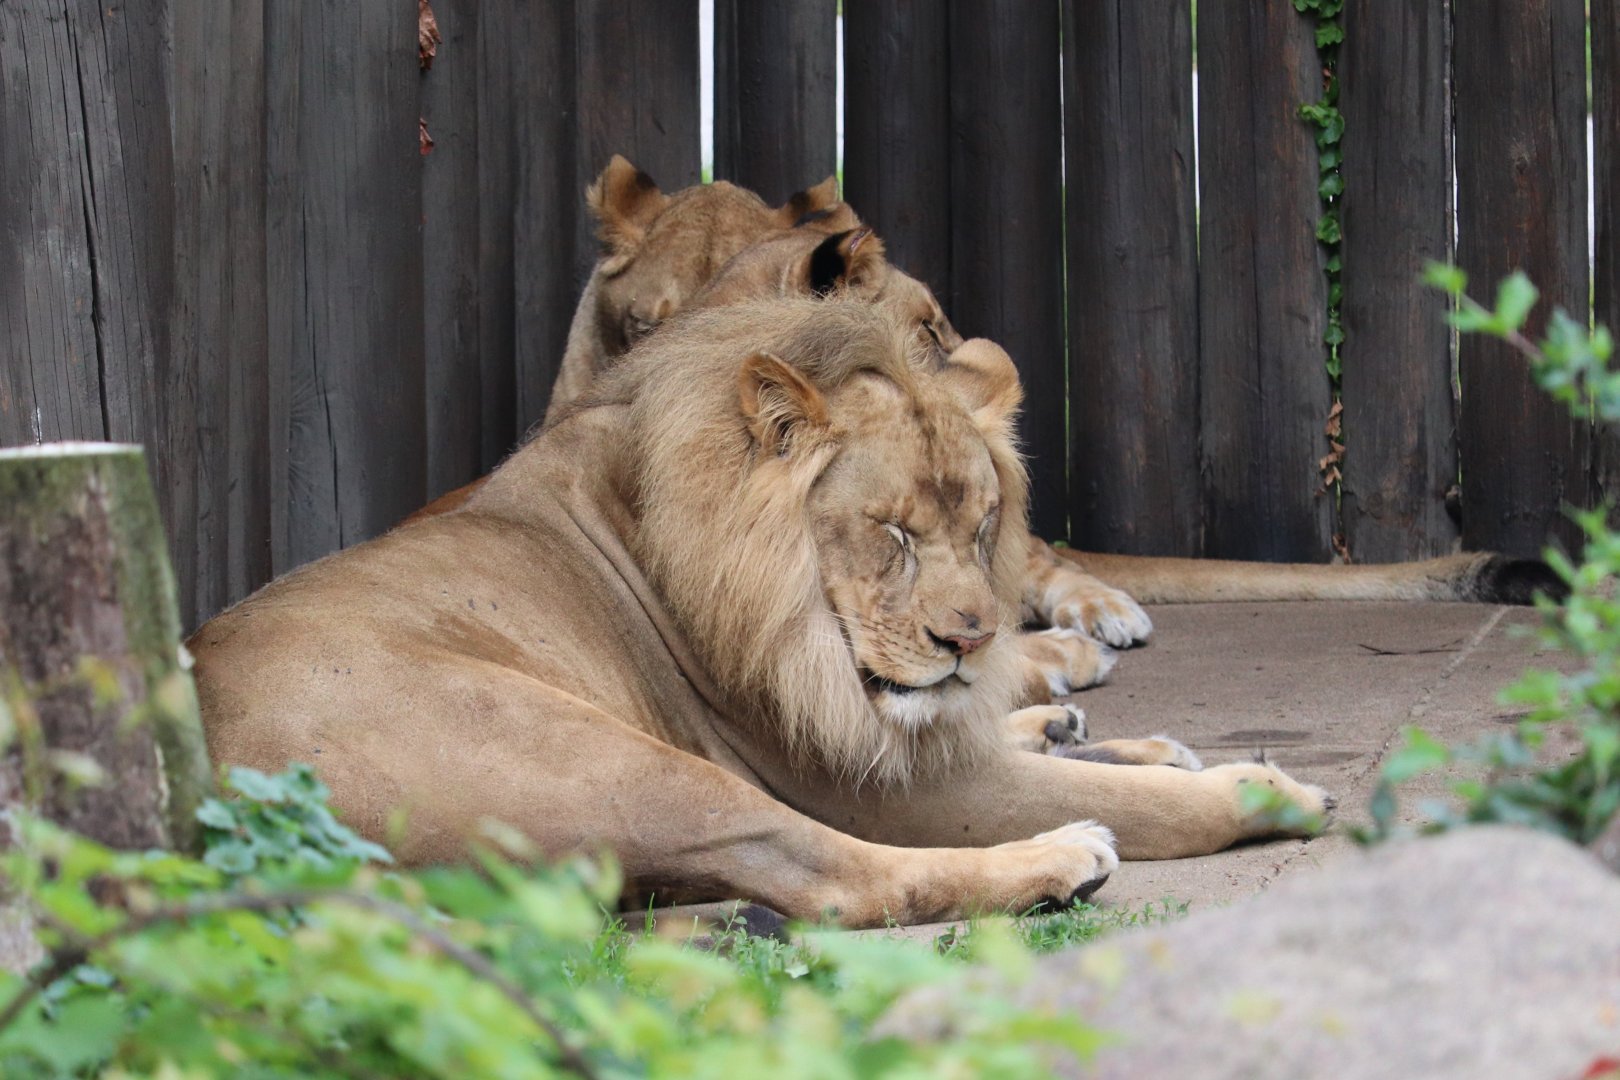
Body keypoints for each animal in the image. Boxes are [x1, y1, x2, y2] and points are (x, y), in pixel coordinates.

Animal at [191, 296, 1331, 927]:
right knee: (833, 880)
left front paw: (1087, 728)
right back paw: (1061, 859)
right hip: (604, 756)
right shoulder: (879, 785)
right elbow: (1141, 805)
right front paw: (1260, 789)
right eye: (890, 532)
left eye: (981, 526)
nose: (969, 640)